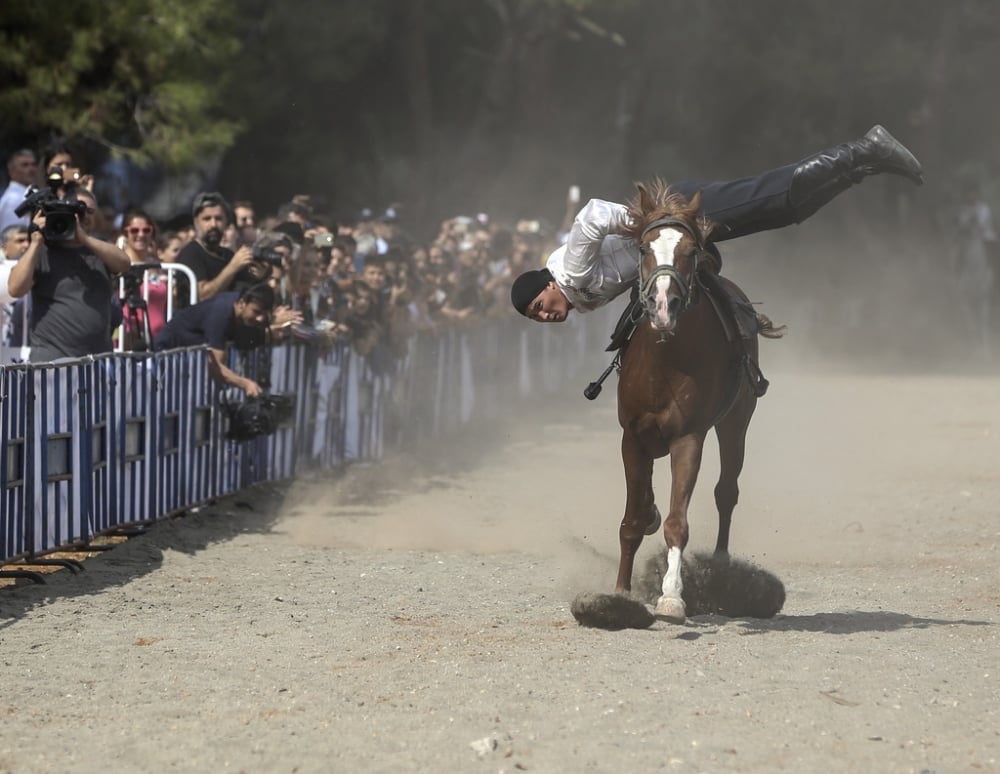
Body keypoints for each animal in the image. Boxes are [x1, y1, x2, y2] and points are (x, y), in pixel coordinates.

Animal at [608, 182, 780, 624]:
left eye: (690, 252)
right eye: (643, 248)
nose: (663, 305)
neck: (665, 359)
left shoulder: (689, 437)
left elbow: (677, 522)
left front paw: (671, 596)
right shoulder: (631, 436)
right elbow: (631, 521)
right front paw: (620, 593)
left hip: (736, 420)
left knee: (726, 491)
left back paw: (719, 568)